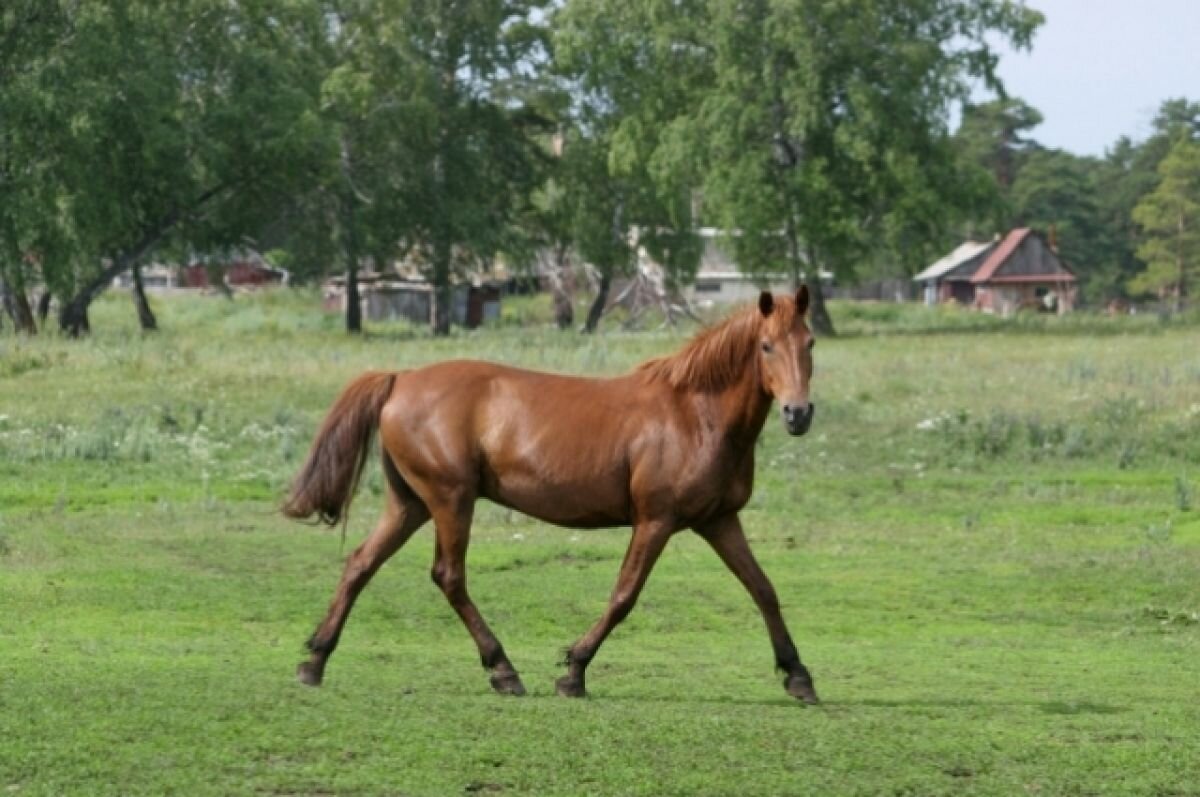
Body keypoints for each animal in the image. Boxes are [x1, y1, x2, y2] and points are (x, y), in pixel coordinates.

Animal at [285, 286, 820, 705]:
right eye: (767, 346)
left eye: (810, 342)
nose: (798, 414)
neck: (695, 413)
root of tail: (402, 379)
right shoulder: (656, 520)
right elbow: (624, 594)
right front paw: (574, 671)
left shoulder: (719, 520)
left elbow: (763, 589)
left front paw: (798, 675)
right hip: (451, 500)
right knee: (448, 576)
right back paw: (503, 669)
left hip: (410, 504)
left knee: (360, 564)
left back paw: (315, 661)